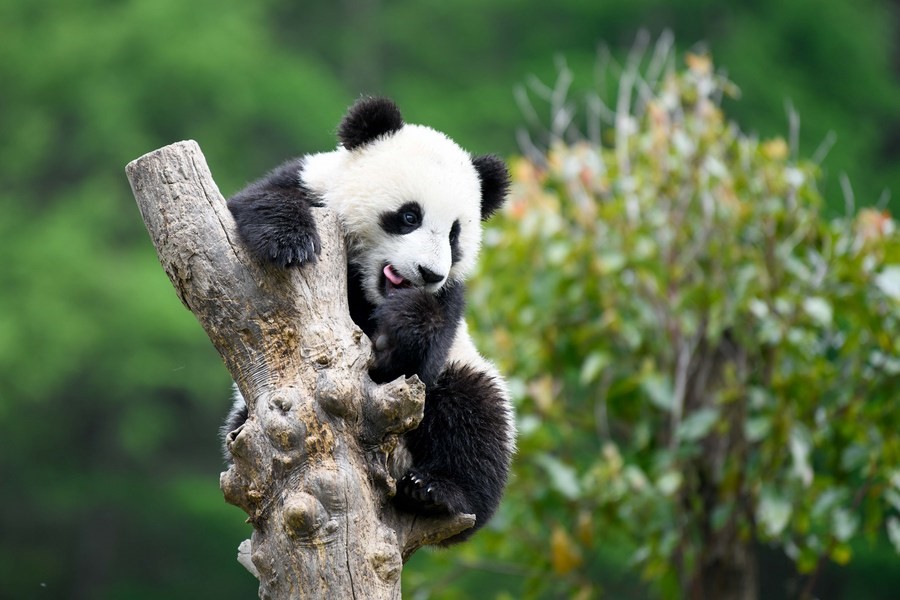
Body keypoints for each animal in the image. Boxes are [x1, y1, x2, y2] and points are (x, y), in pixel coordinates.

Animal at [222, 96, 515, 542]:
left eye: (454, 235)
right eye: (409, 216)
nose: (429, 273)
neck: (367, 292)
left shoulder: (450, 300)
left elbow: (421, 354)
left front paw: (397, 333)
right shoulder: (307, 184)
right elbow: (259, 200)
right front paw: (289, 239)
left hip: (466, 374)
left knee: (475, 416)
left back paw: (438, 492)